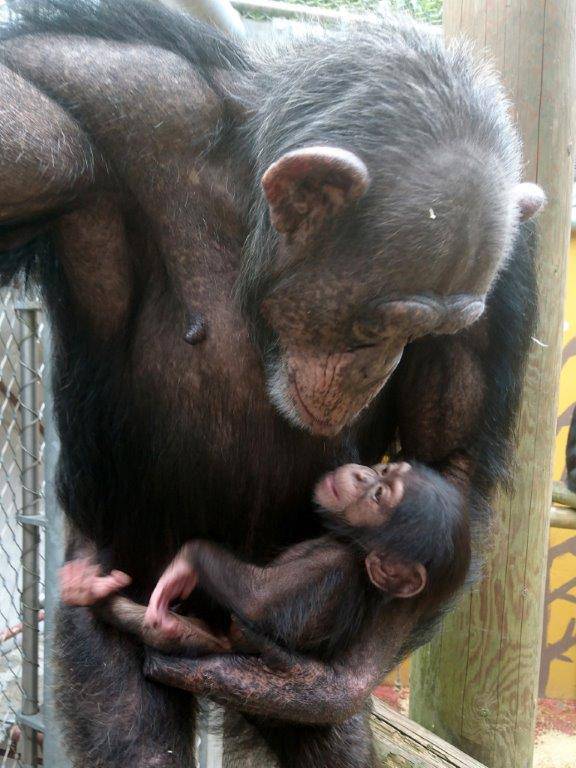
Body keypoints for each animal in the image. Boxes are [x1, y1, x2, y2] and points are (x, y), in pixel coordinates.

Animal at [60, 462, 470, 660]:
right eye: (384, 471)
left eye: (379, 496)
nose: (362, 473)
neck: (347, 541)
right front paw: (90, 586)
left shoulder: (333, 565)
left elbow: (259, 600)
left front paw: (184, 563)